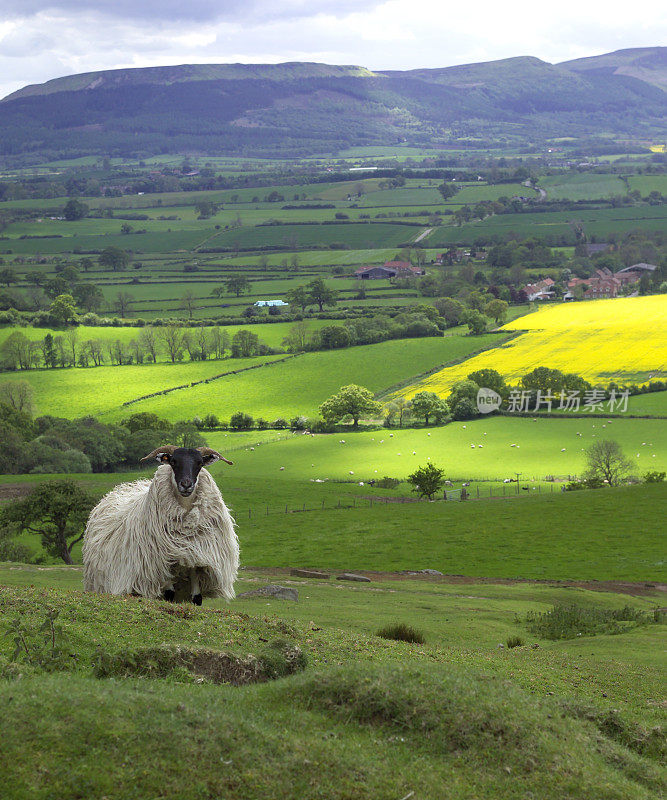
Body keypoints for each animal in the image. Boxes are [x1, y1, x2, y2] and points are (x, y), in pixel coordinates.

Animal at [83, 444, 239, 608]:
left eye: (199, 463)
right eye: (173, 461)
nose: (186, 484)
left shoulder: (196, 558)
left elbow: (197, 598)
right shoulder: (163, 562)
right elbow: (169, 594)